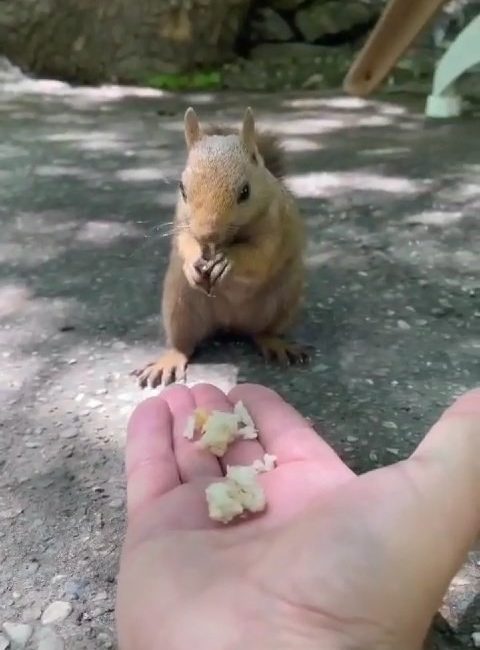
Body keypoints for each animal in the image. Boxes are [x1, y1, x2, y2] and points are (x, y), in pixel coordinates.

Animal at [133, 106, 310, 388]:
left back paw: (276, 344)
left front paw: (229, 261)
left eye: (245, 191)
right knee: (183, 345)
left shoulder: (275, 225)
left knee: (263, 332)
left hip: (283, 302)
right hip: (179, 305)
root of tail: (230, 324)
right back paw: (169, 360)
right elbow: (185, 241)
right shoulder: (182, 221)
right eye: (182, 189)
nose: (207, 234)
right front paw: (193, 261)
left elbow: (261, 255)